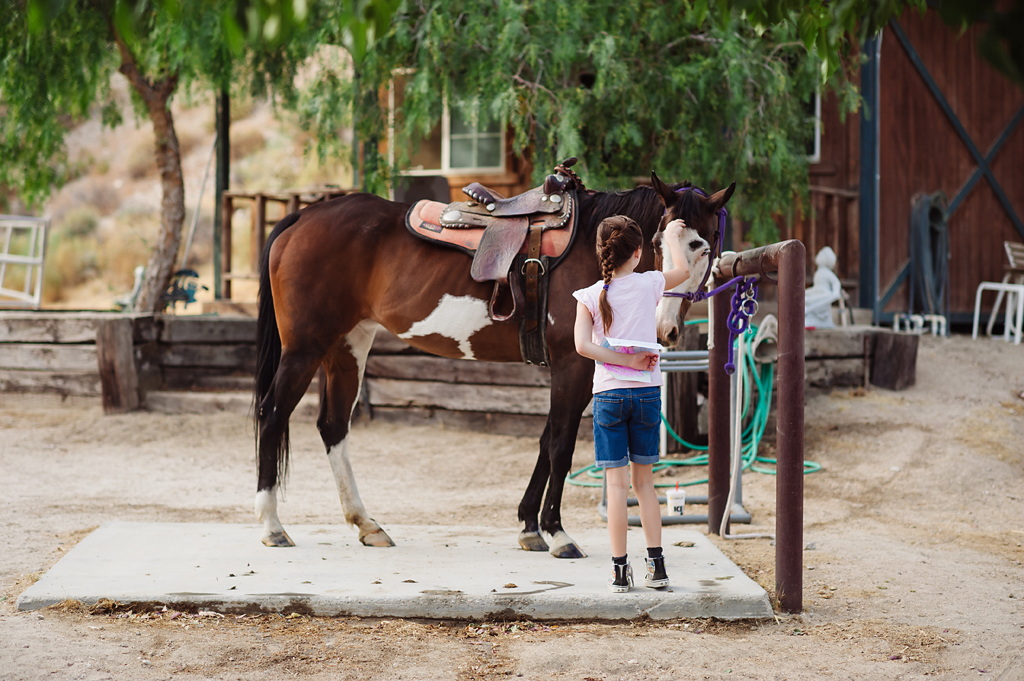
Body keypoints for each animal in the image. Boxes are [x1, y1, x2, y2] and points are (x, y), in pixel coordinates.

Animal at [256, 169, 737, 557]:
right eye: (657, 242)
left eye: (703, 245)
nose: (665, 327)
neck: (595, 249)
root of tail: (304, 217)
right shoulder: (573, 366)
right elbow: (560, 446)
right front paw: (557, 533)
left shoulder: (571, 371)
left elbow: (546, 442)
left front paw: (530, 527)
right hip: (305, 348)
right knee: (272, 414)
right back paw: (272, 525)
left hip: (348, 345)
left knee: (333, 426)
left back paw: (366, 524)